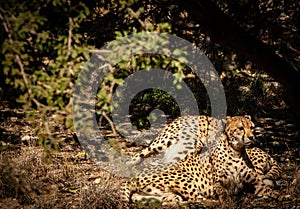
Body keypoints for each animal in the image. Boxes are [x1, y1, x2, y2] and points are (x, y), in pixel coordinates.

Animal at [120, 116, 280, 206]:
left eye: (252, 127)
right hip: (180, 172)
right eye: (241, 128)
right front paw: (227, 201)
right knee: (195, 197)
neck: (236, 151)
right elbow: (223, 192)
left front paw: (279, 195)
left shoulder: (253, 182)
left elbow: (267, 189)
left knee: (174, 200)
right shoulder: (218, 181)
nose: (252, 137)